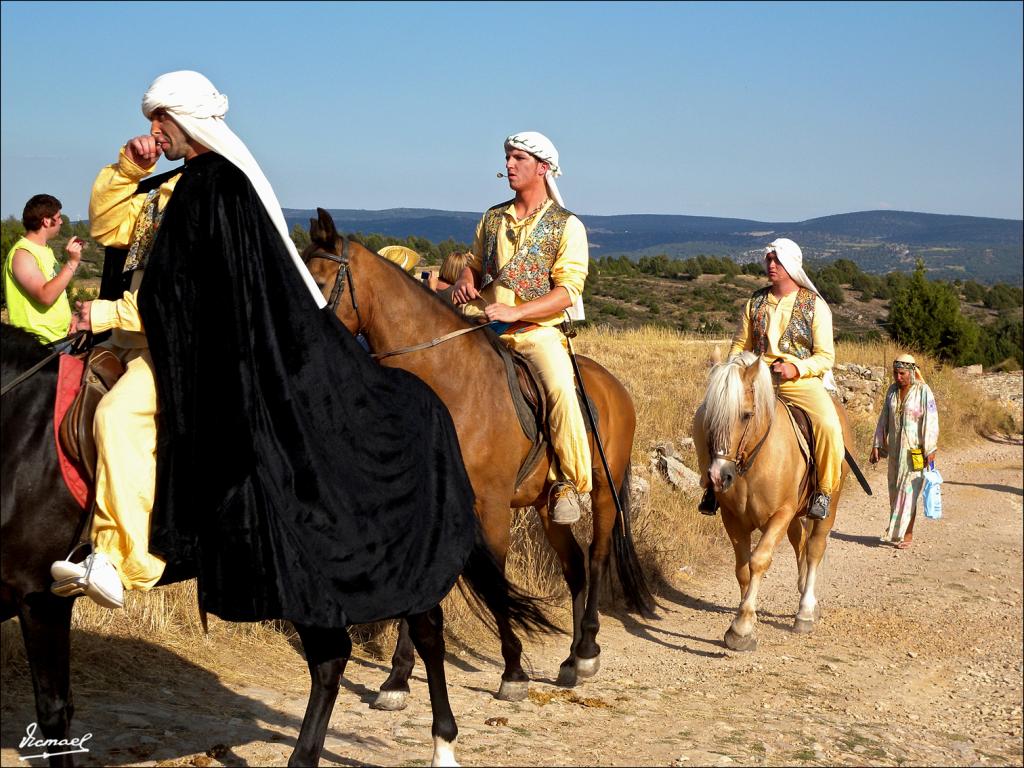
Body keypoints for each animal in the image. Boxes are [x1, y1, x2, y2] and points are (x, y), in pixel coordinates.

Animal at [299, 207, 651, 708]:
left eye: (320, 280)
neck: (449, 383)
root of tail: (614, 387)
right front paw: (397, 679)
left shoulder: (491, 505)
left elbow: (498, 583)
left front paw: (513, 672)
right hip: (546, 507)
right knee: (575, 566)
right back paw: (568, 660)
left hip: (603, 490)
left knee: (598, 557)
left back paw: (585, 651)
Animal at [692, 352, 851, 651]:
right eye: (708, 416)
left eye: (746, 414)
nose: (718, 477)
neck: (753, 463)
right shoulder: (733, 520)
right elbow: (742, 569)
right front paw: (745, 620)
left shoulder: (781, 514)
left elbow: (759, 561)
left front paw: (742, 627)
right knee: (800, 542)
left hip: (829, 505)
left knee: (814, 548)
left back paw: (805, 611)